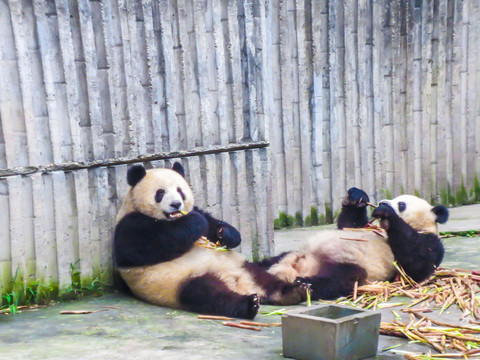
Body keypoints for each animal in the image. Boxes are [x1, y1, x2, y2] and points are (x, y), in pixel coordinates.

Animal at [113, 162, 308, 318]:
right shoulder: (129, 225)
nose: (176, 204)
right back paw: (249, 305)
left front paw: (224, 234)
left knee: (265, 278)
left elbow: (214, 225)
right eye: (160, 192)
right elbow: (149, 246)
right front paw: (195, 221)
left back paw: (295, 291)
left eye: (180, 191)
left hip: (241, 265)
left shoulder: (199, 212)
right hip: (183, 281)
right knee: (211, 296)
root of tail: (239, 283)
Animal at [266, 187, 450, 300]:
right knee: (268, 261)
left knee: (338, 280)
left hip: (354, 268)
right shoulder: (362, 227)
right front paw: (357, 196)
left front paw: (386, 213)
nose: (382, 202)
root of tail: (300, 266)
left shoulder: (427, 240)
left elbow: (415, 264)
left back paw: (301, 284)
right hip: (291, 254)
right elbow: (349, 223)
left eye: (402, 204)